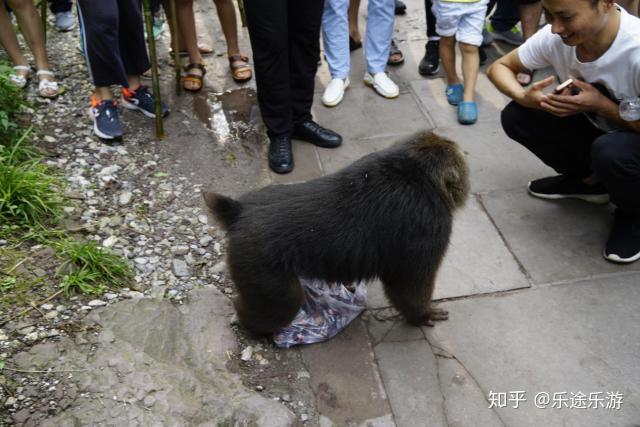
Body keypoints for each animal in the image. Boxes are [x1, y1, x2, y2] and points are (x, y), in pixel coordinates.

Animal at [205, 131, 470, 338]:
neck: (413, 169)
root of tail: (239, 212)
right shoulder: (429, 228)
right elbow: (410, 283)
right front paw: (421, 315)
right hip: (259, 263)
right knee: (282, 304)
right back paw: (248, 320)